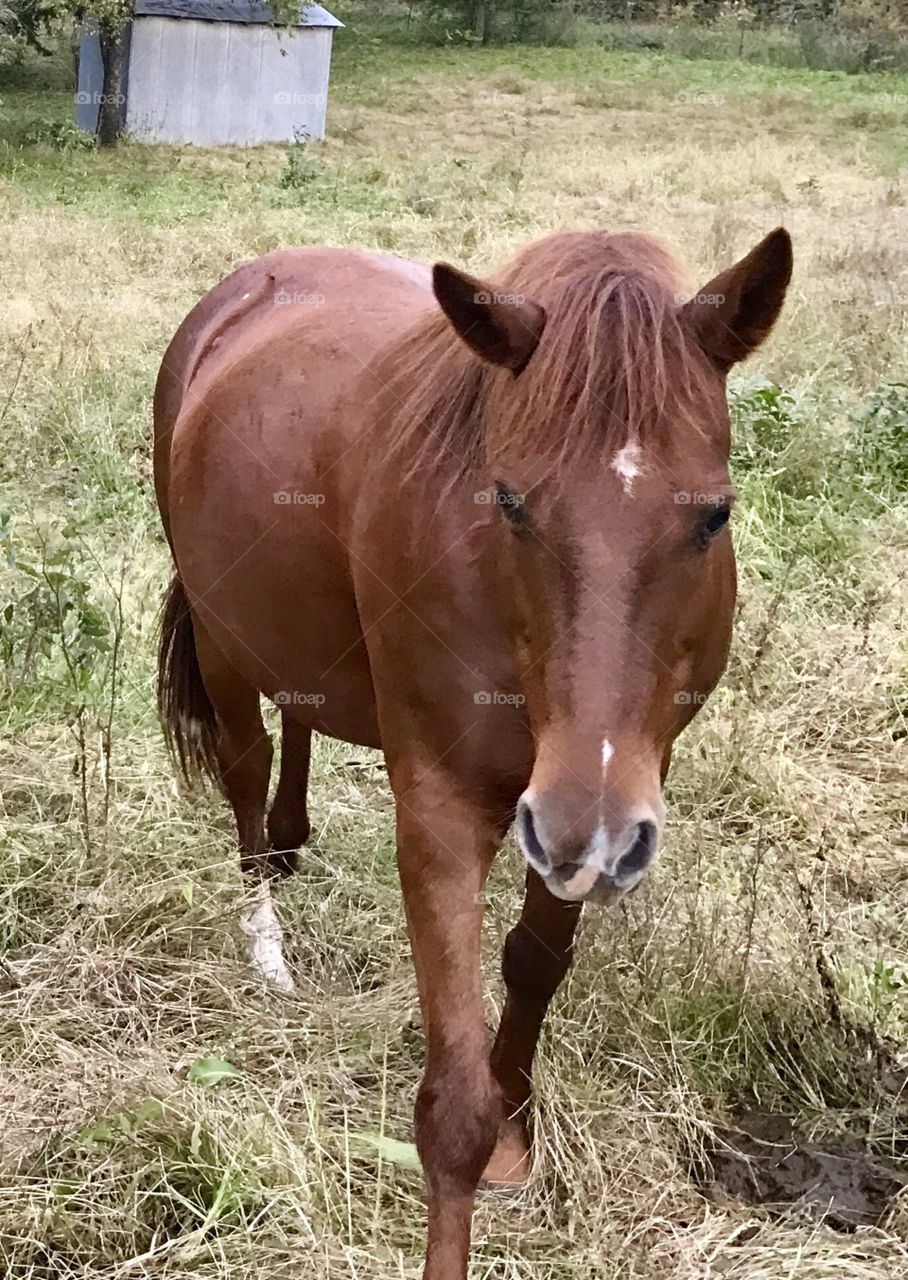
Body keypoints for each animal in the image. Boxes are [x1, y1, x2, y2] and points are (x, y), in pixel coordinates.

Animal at [152, 225, 788, 1274]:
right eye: (510, 503)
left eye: (715, 514)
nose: (588, 829)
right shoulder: (447, 811)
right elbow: (451, 1113)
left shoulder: (588, 800)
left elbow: (534, 961)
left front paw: (519, 1132)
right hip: (220, 637)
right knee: (244, 774)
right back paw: (266, 941)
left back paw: (290, 842)